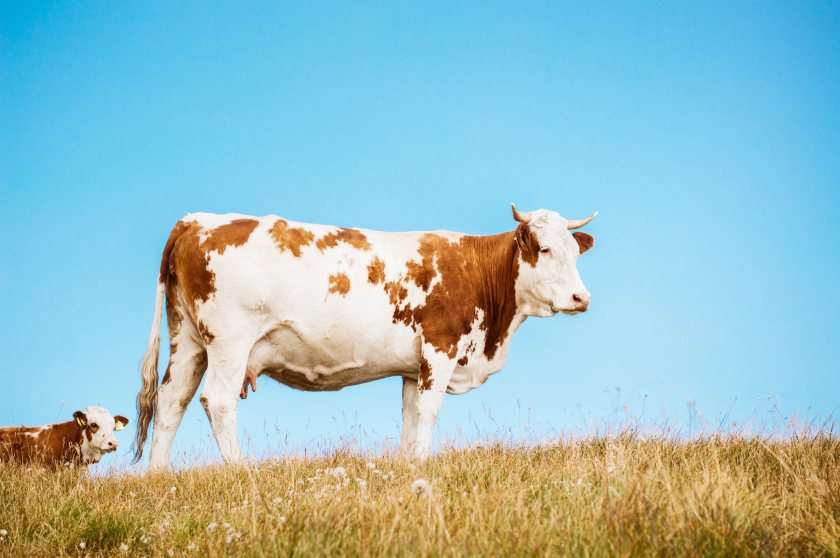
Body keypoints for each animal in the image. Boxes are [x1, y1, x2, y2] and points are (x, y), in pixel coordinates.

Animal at [133, 204, 596, 468]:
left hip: (188, 340)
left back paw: (159, 475)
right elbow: (429, 411)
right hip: (229, 341)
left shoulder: (413, 367)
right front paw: (424, 465)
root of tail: (196, 220)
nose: (582, 297)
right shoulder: (440, 347)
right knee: (217, 400)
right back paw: (238, 470)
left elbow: (410, 414)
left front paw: (409, 467)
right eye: (544, 249)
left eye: (576, 252)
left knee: (171, 400)